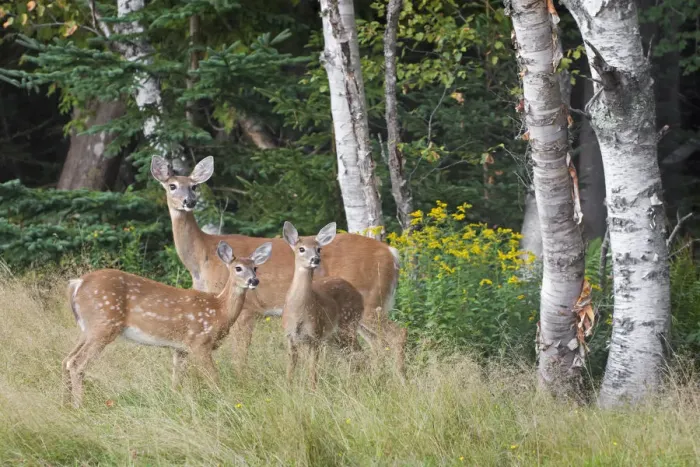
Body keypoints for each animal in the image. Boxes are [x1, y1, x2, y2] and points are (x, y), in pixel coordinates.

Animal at [62, 241, 272, 408]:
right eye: (238, 268)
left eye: (255, 267)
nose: (254, 280)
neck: (219, 310)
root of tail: (77, 284)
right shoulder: (200, 342)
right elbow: (213, 377)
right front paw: (223, 401)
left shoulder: (180, 348)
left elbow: (176, 381)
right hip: (104, 324)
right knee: (76, 363)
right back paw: (79, 406)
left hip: (88, 329)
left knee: (66, 360)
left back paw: (65, 405)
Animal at [281, 221, 364, 388]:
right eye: (301, 249)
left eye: (319, 248)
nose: (316, 259)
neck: (298, 311)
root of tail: (360, 296)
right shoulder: (290, 336)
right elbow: (291, 367)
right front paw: (288, 387)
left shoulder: (315, 335)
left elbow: (312, 369)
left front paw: (313, 390)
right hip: (335, 337)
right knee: (350, 356)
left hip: (348, 325)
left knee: (359, 353)